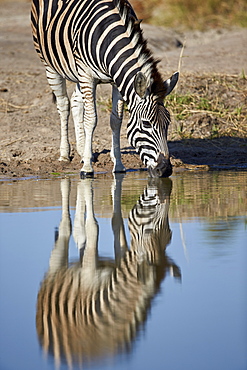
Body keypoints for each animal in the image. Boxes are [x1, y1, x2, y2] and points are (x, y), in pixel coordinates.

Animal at [30, 0, 178, 178]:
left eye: (168, 123)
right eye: (146, 124)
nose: (165, 170)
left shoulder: (116, 80)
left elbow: (116, 121)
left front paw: (118, 165)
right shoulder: (87, 75)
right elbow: (91, 119)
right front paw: (87, 168)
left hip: (77, 72)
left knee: (75, 101)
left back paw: (82, 151)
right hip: (50, 64)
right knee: (63, 105)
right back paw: (65, 154)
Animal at [35, 176, 181, 368]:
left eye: (170, 234)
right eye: (149, 230)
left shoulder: (121, 263)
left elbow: (116, 222)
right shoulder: (89, 274)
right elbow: (93, 227)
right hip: (55, 268)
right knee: (65, 229)